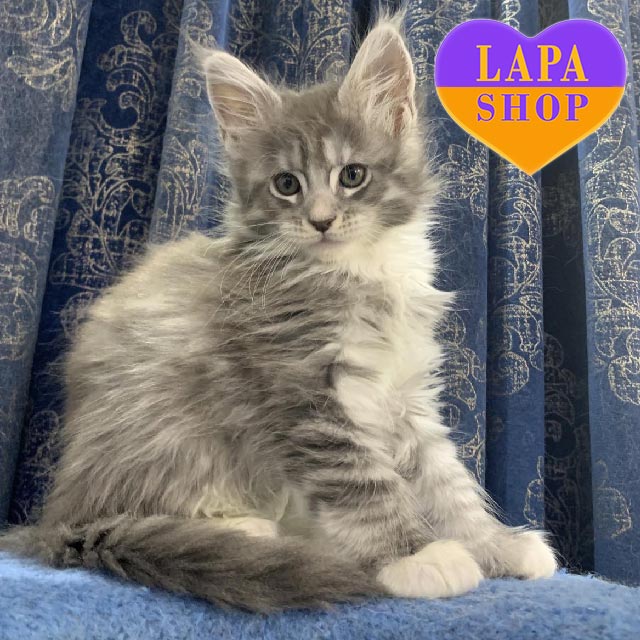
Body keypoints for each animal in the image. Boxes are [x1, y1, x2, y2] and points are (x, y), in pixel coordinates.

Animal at [0, 17, 557, 612]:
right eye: (287, 184)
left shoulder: (407, 396)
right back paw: (249, 532)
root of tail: (56, 519)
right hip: (165, 439)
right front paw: (416, 557)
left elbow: (447, 481)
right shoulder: (307, 393)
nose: (321, 221)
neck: (360, 273)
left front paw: (494, 544)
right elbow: (365, 483)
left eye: (352, 175)